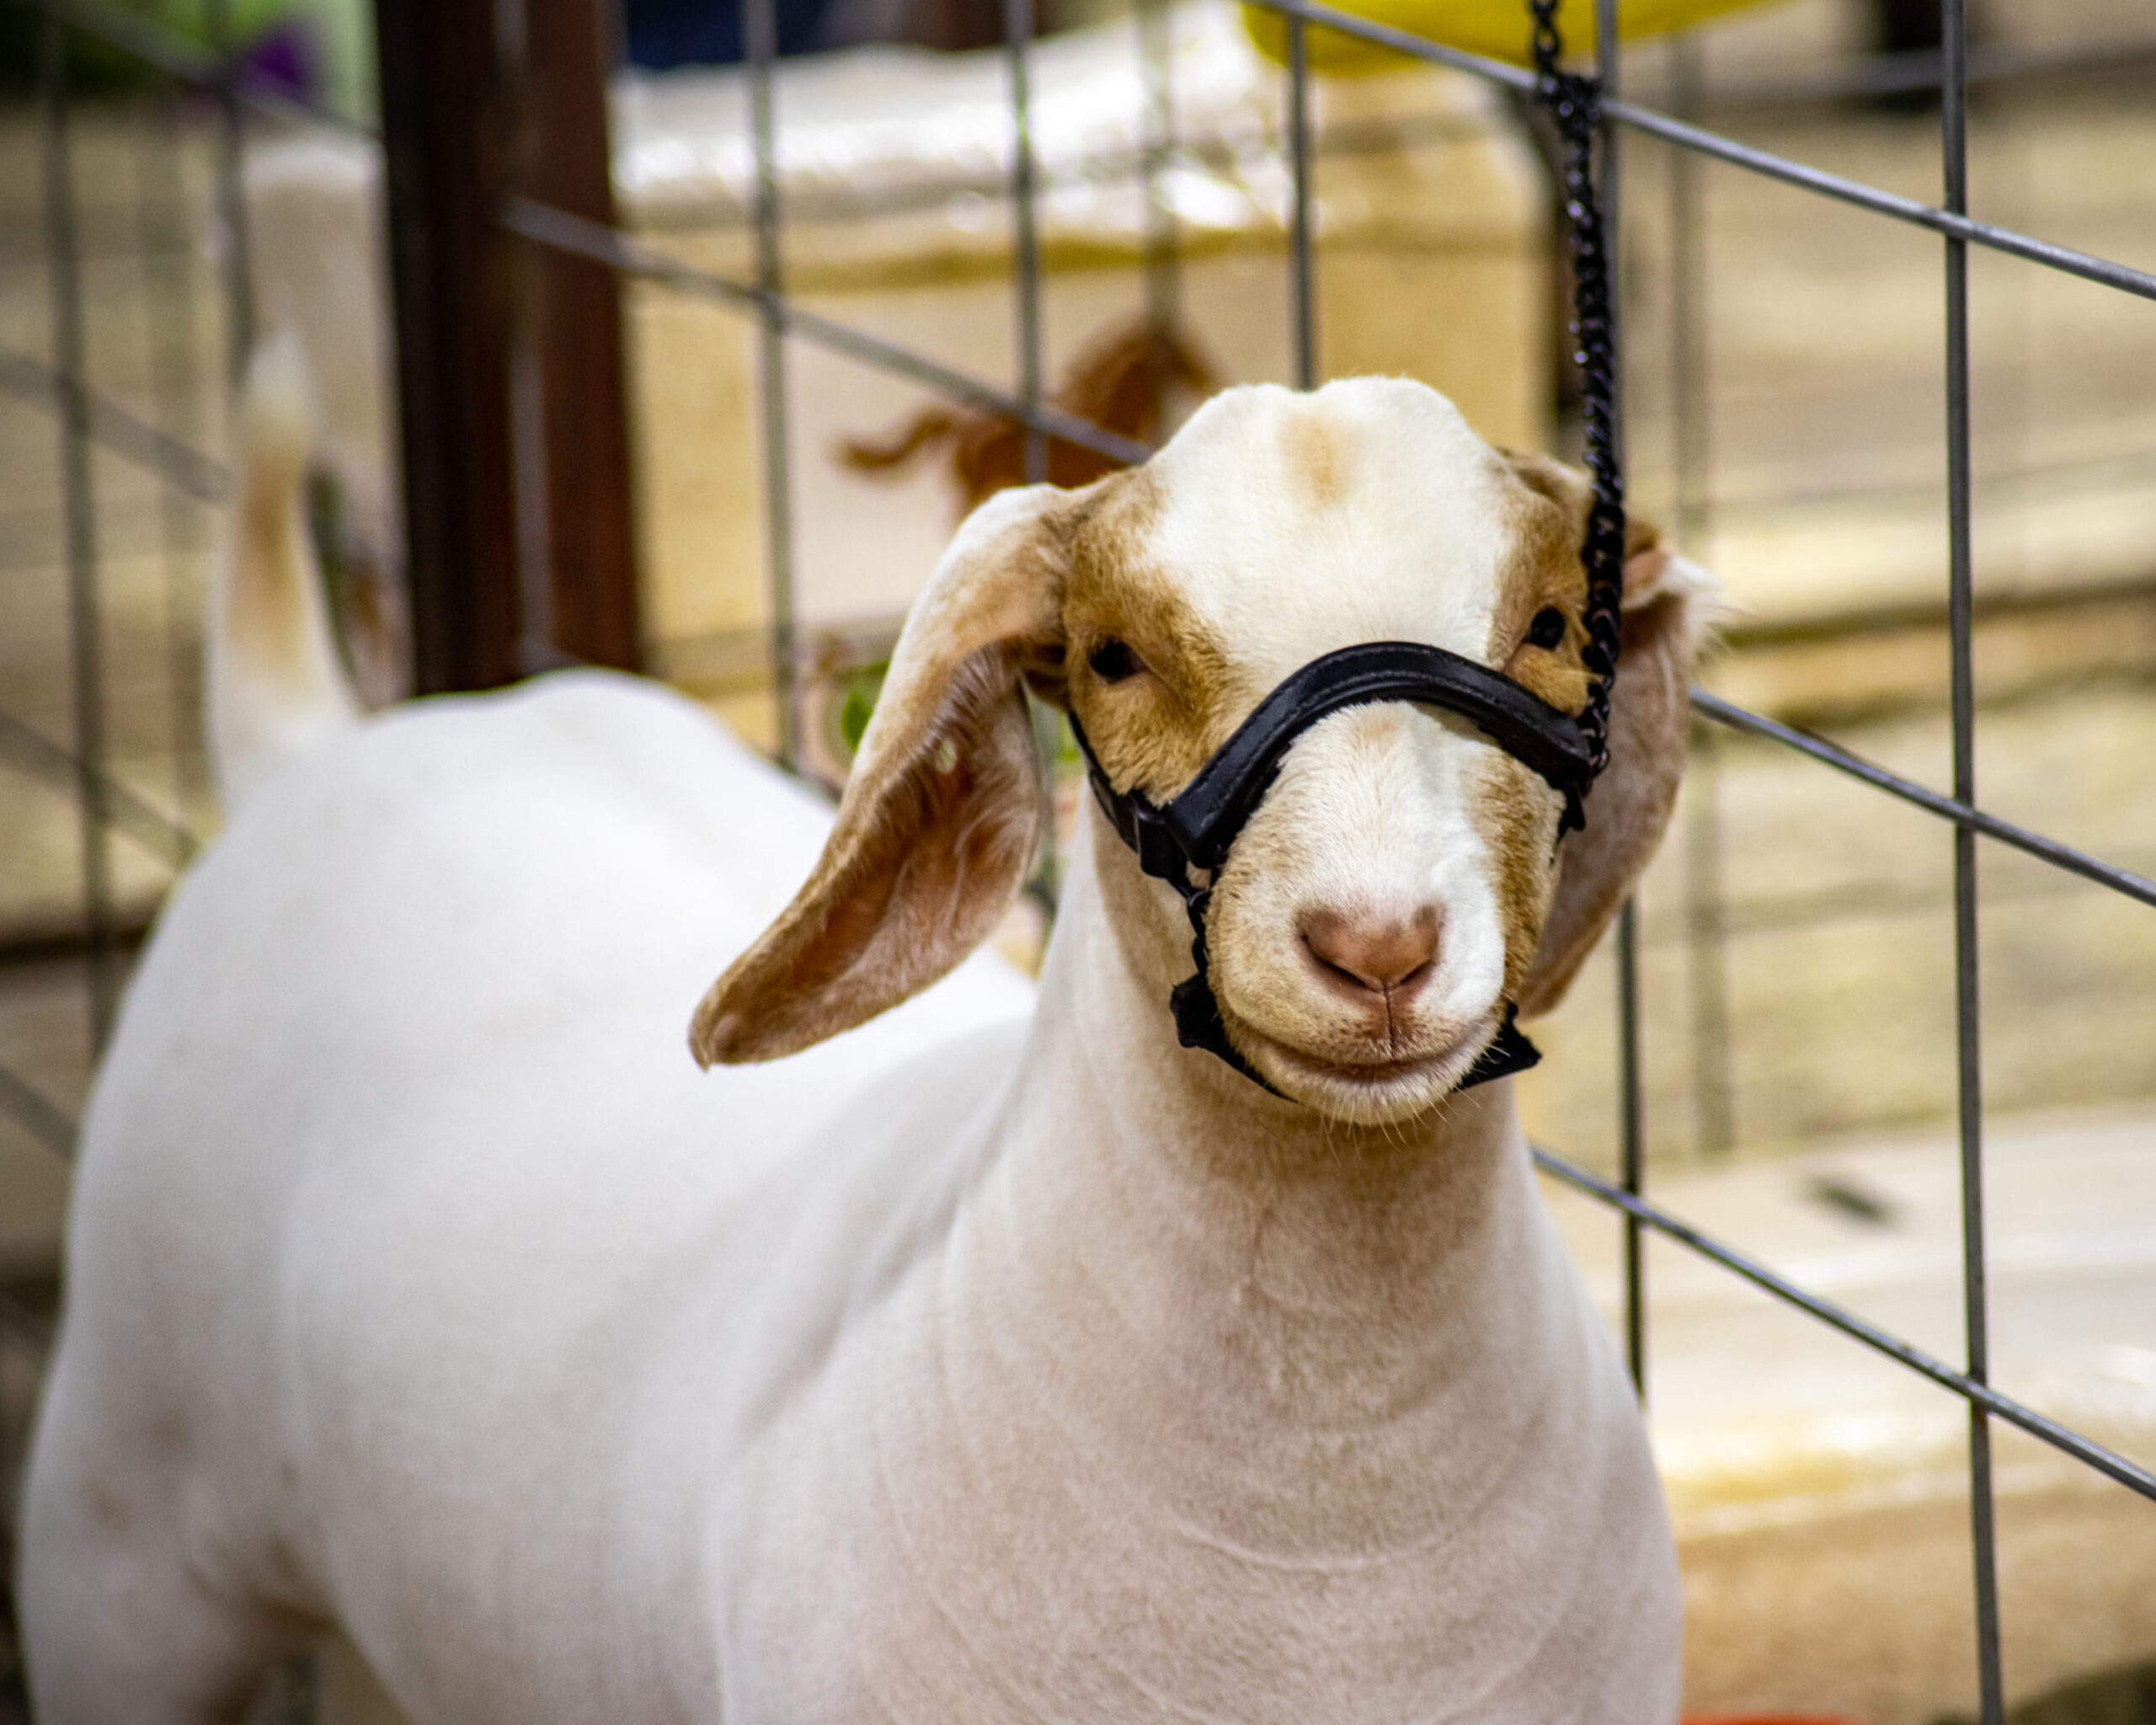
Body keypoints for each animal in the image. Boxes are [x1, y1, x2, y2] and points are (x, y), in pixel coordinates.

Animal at [20, 353, 1716, 1724]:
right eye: (1114, 655)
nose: (1376, 946)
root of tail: (330, 747)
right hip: (118, 1534)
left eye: (1552, 623)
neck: (1323, 1534)